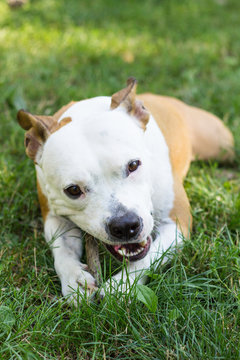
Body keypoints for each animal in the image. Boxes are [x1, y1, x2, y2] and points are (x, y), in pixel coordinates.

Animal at [17, 77, 234, 302]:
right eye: (73, 190)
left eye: (133, 165)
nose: (124, 225)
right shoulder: (54, 216)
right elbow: (62, 250)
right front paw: (74, 280)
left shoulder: (177, 223)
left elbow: (149, 256)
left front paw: (122, 285)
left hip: (222, 145)